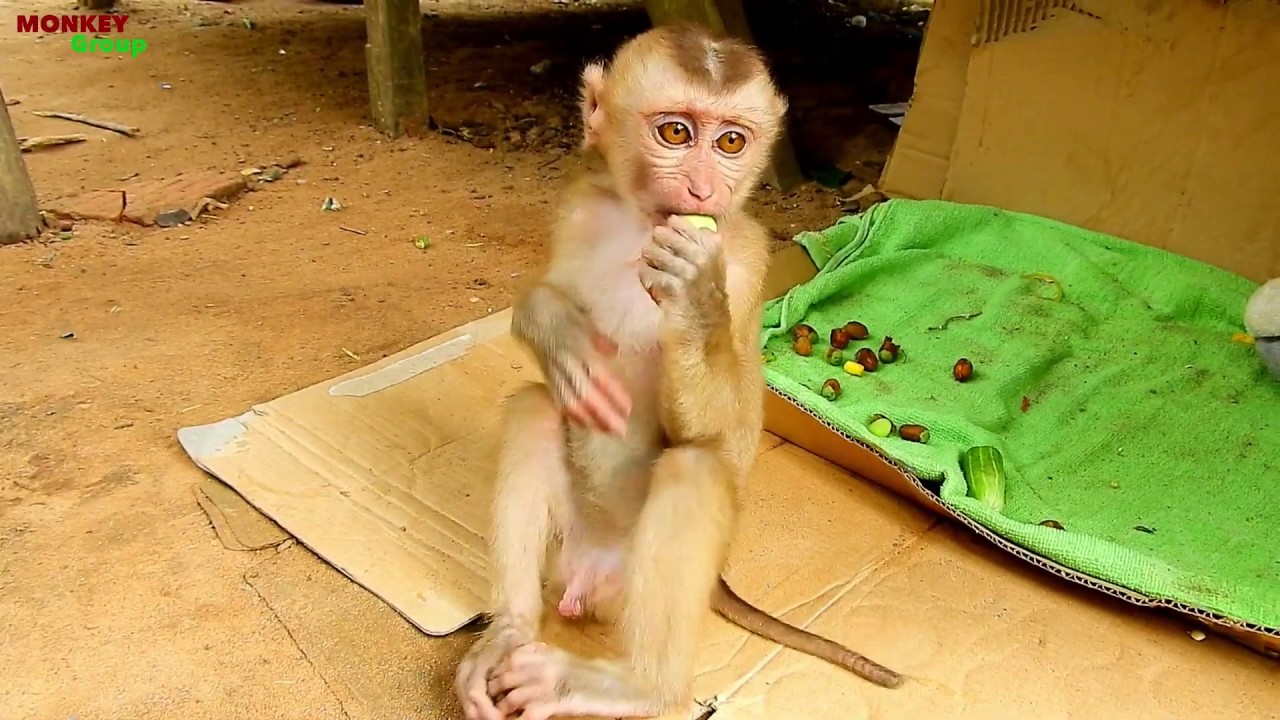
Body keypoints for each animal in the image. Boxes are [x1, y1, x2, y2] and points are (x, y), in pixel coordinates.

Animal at [454, 24, 902, 720]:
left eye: (730, 142)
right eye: (675, 133)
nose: (700, 191)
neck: (641, 229)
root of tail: (586, 577)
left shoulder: (743, 257)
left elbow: (730, 438)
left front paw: (692, 298)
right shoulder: (579, 203)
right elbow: (540, 297)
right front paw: (560, 335)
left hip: (628, 587)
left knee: (695, 465)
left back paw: (636, 688)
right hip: (564, 552)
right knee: (536, 406)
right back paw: (508, 632)